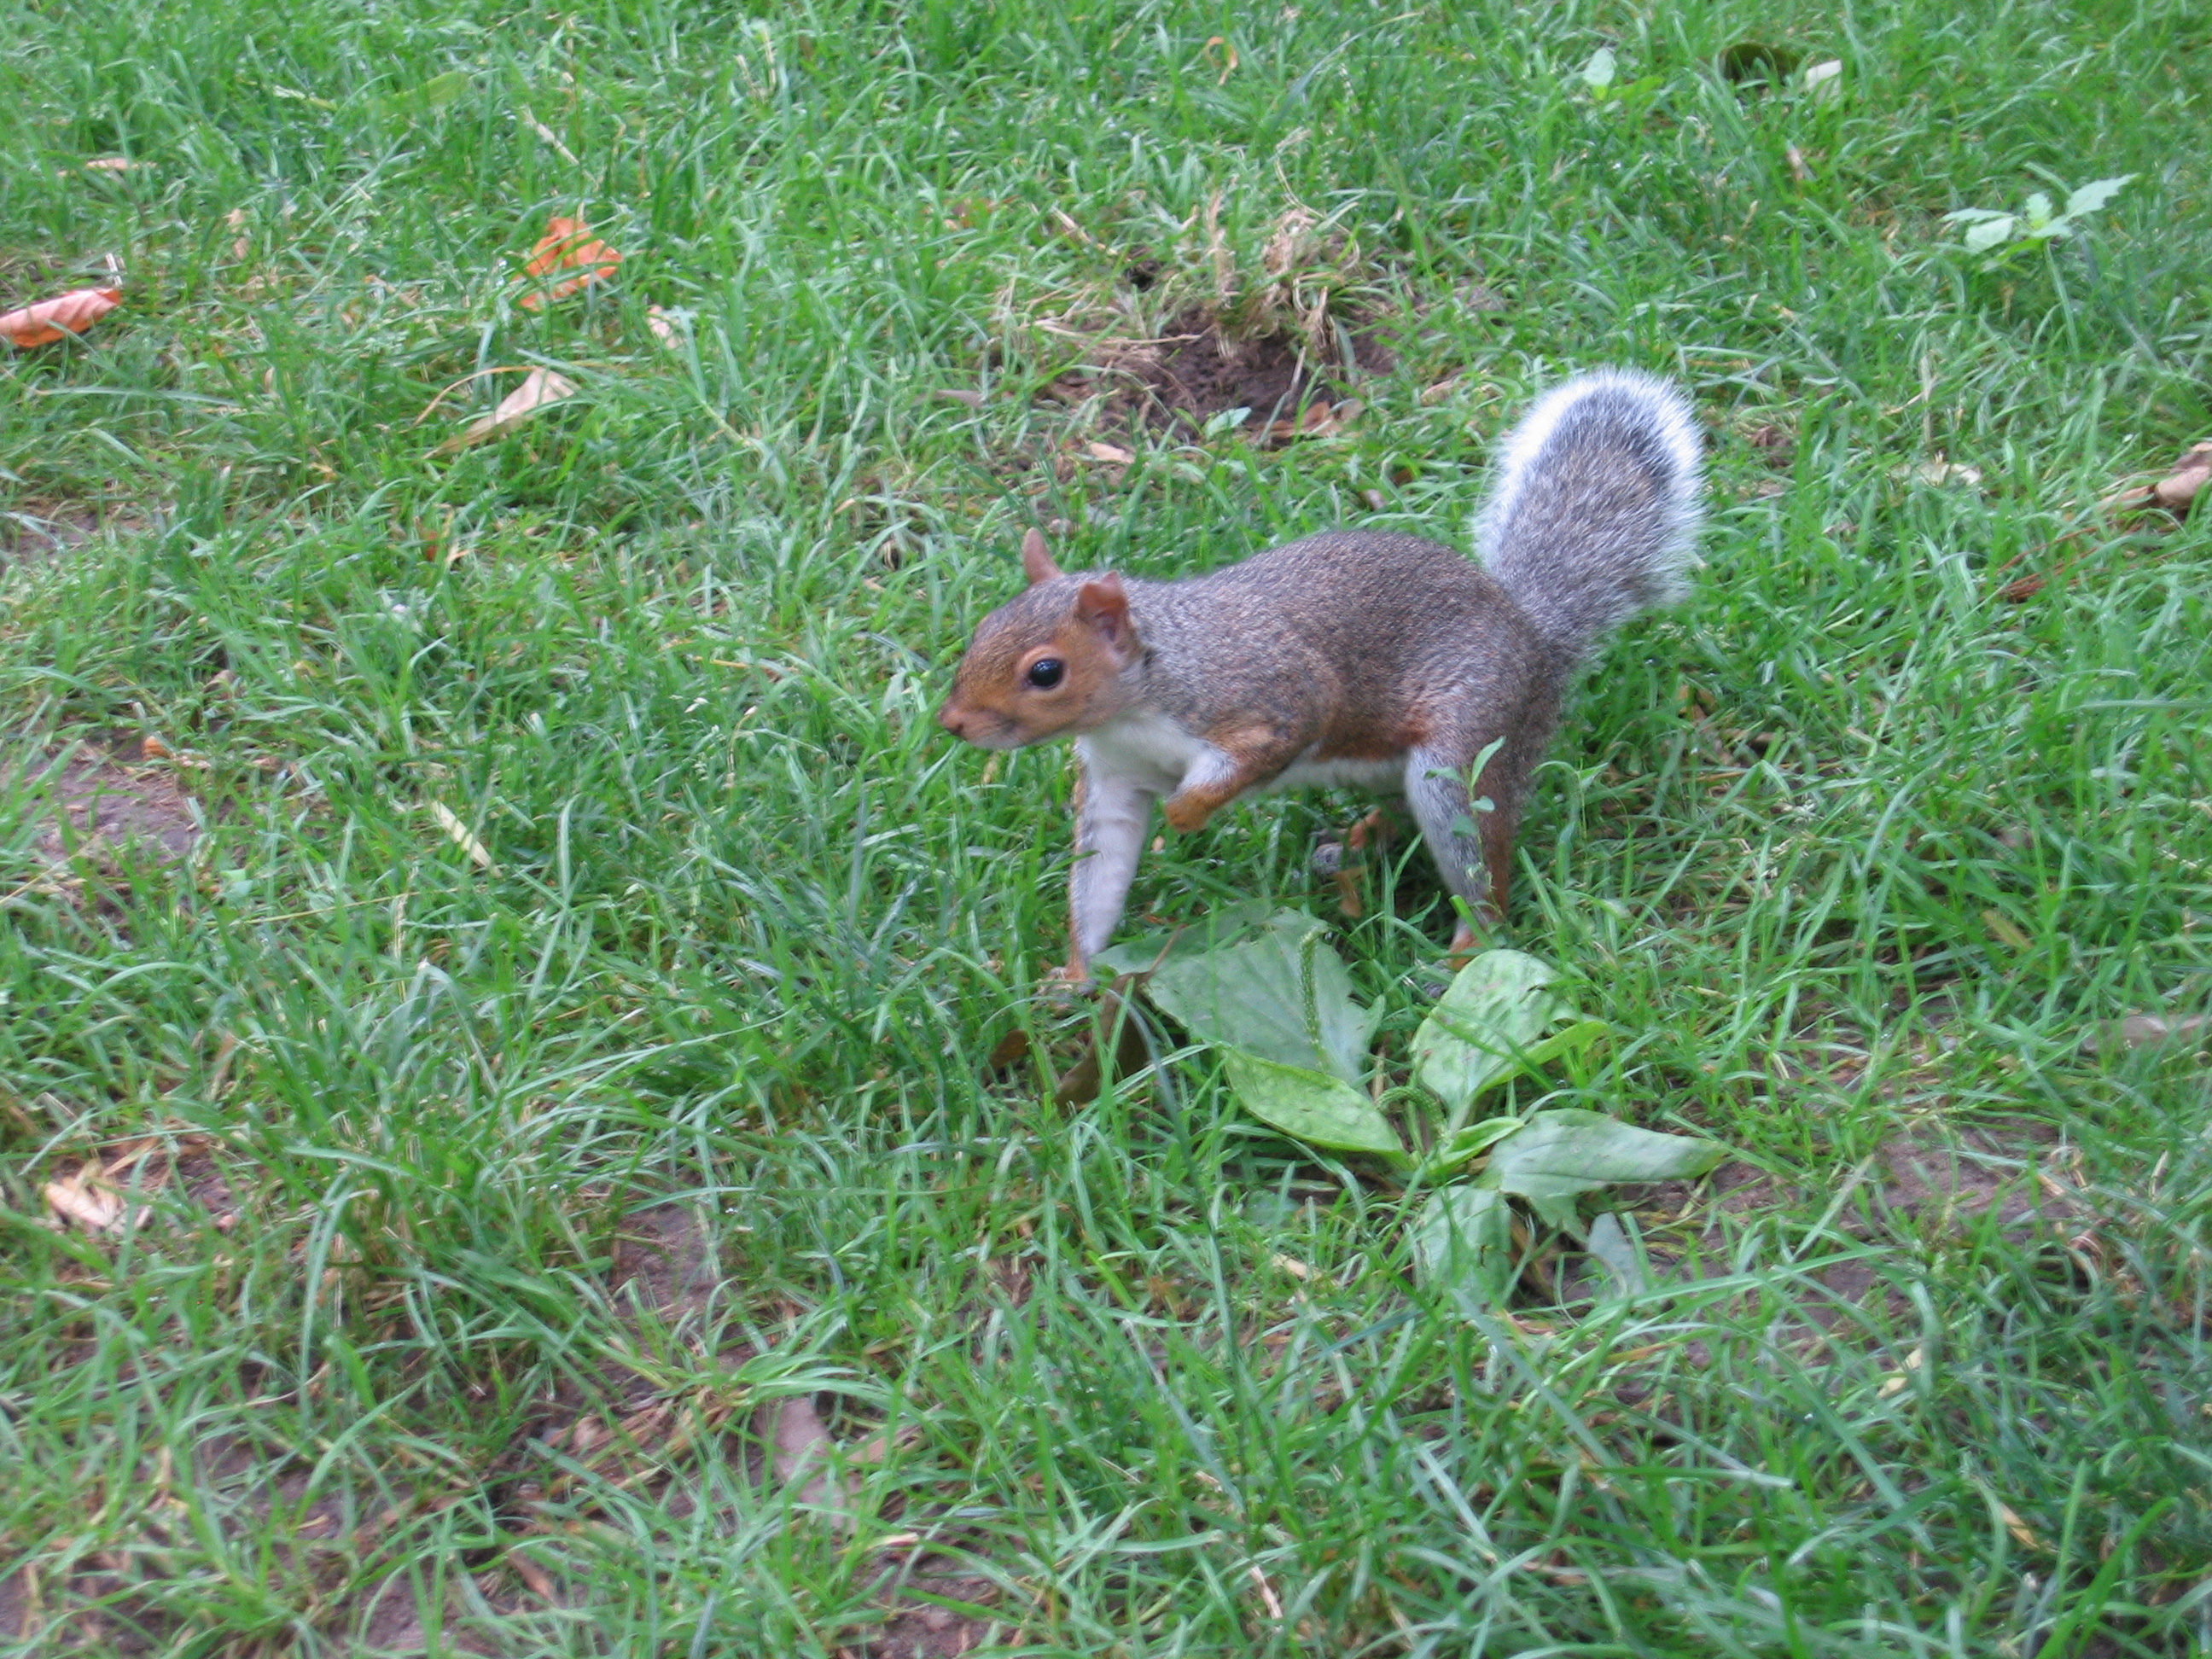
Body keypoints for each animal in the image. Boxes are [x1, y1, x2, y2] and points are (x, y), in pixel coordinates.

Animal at [933, 369, 1708, 981]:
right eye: (981, 631)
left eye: (1046, 672)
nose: (955, 723)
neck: (1140, 700)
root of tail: (1534, 644)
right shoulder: (1115, 778)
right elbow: (1100, 875)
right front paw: (1074, 978)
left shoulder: (1269, 694)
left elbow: (1266, 743)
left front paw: (1186, 813)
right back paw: (1360, 839)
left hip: (1466, 746)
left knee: (1480, 858)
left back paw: (1464, 951)